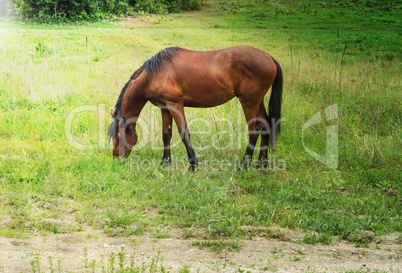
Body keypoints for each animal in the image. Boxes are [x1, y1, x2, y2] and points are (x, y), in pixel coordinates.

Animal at [107, 46, 282, 170]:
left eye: (119, 136)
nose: (116, 159)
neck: (154, 75)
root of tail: (270, 58)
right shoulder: (165, 107)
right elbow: (166, 135)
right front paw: (165, 162)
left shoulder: (175, 104)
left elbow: (184, 133)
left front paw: (192, 164)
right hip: (257, 101)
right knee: (265, 125)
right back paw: (262, 162)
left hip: (249, 102)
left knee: (254, 130)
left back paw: (244, 164)